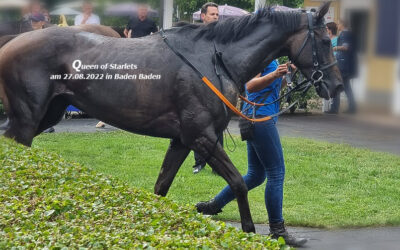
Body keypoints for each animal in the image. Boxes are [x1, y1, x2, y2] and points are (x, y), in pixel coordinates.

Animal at [1, 2, 342, 232]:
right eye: (326, 41)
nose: (337, 85)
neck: (213, 58)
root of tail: (12, 42)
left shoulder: (181, 140)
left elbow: (160, 188)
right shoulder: (200, 136)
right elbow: (238, 184)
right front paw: (248, 231)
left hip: (46, 115)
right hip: (28, 119)